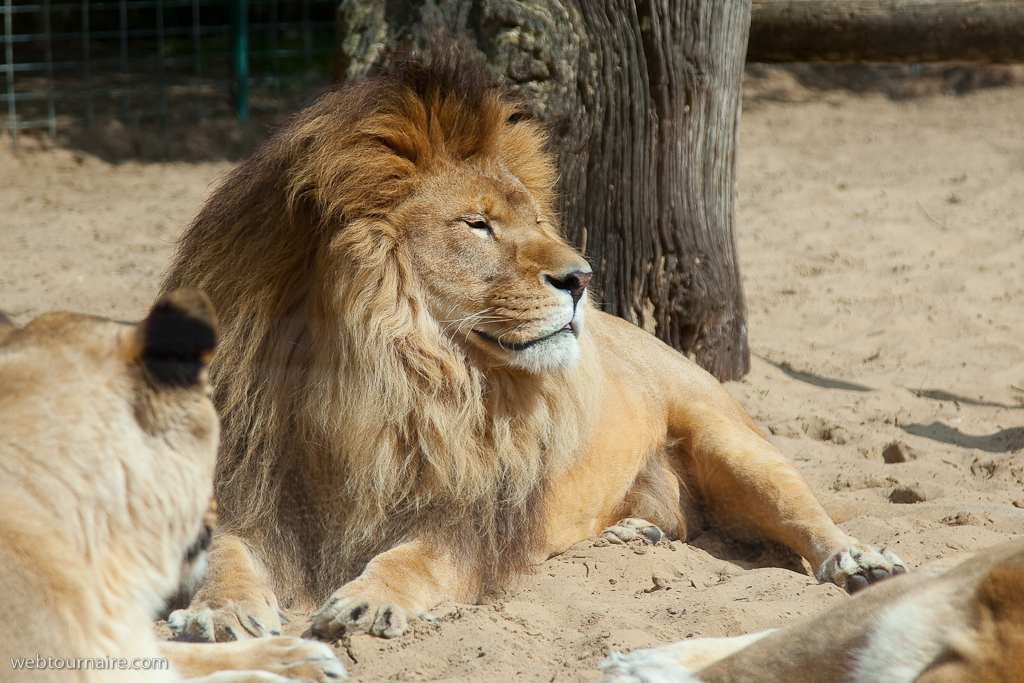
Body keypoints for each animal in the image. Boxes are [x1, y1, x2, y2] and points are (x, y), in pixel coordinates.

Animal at [161, 51, 906, 642]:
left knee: (810, 514)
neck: (375, 381)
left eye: (539, 221)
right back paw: (633, 531)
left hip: (732, 443)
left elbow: (415, 557)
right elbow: (225, 553)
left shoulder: (475, 518)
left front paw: (367, 602)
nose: (582, 278)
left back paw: (859, 561)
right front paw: (220, 610)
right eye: (477, 224)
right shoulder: (248, 486)